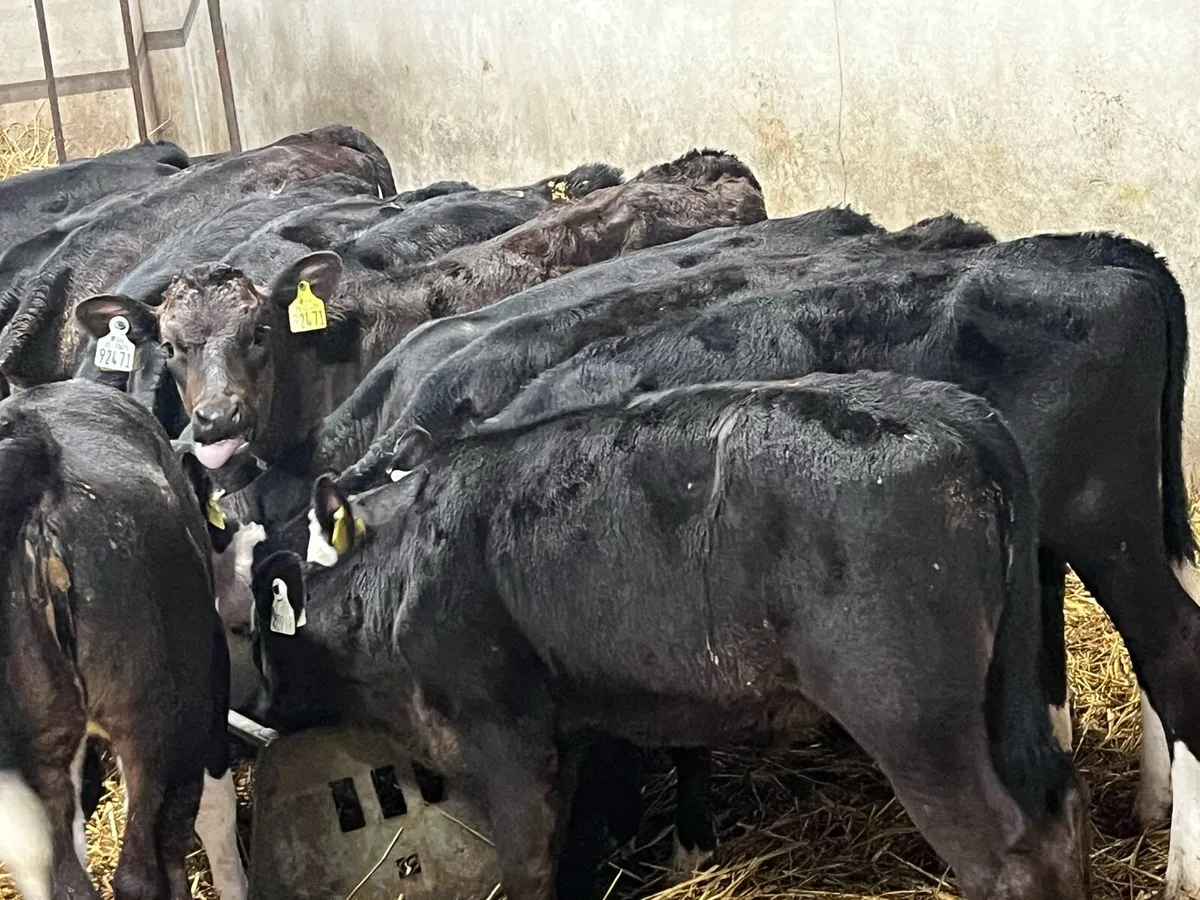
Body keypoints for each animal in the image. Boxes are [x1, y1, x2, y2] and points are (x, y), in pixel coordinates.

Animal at [249, 371, 1090, 900]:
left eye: (279, 597)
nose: (257, 697)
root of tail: (949, 411)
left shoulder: (506, 739)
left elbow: (527, 868)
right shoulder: (570, 731)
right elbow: (575, 853)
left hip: (910, 713)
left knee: (1002, 853)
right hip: (997, 695)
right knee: (1058, 810)